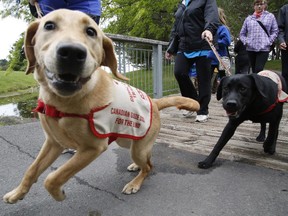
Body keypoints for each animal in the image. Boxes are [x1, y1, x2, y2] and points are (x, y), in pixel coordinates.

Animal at [3, 9, 199, 203]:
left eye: (91, 31)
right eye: (49, 25)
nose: (72, 53)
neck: (61, 102)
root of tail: (153, 101)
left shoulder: (92, 148)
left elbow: (53, 177)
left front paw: (58, 194)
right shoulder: (53, 142)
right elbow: (31, 170)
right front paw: (17, 193)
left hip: (137, 147)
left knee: (149, 167)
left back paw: (135, 183)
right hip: (128, 140)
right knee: (149, 161)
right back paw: (136, 167)